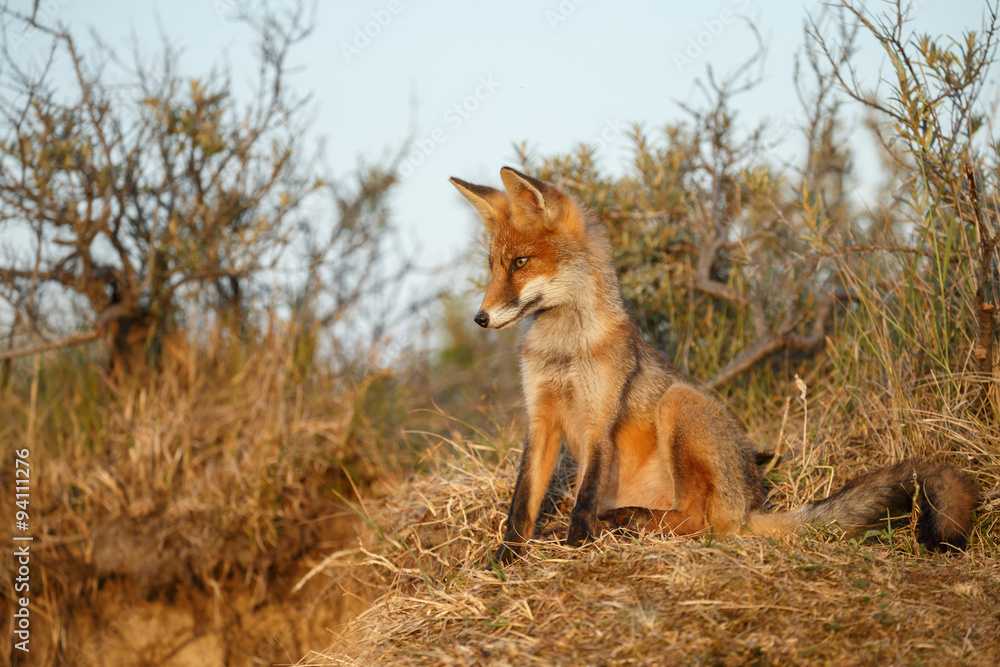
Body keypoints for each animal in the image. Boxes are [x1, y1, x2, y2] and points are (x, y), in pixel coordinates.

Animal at [450, 166, 980, 565]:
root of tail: (752, 505)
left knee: (700, 522)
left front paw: (577, 544)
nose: (480, 317)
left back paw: (628, 523)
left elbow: (583, 495)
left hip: (680, 405)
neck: (564, 350)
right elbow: (522, 503)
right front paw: (505, 558)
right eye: (494, 266)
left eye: (521, 263)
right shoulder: (541, 418)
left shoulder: (598, 415)